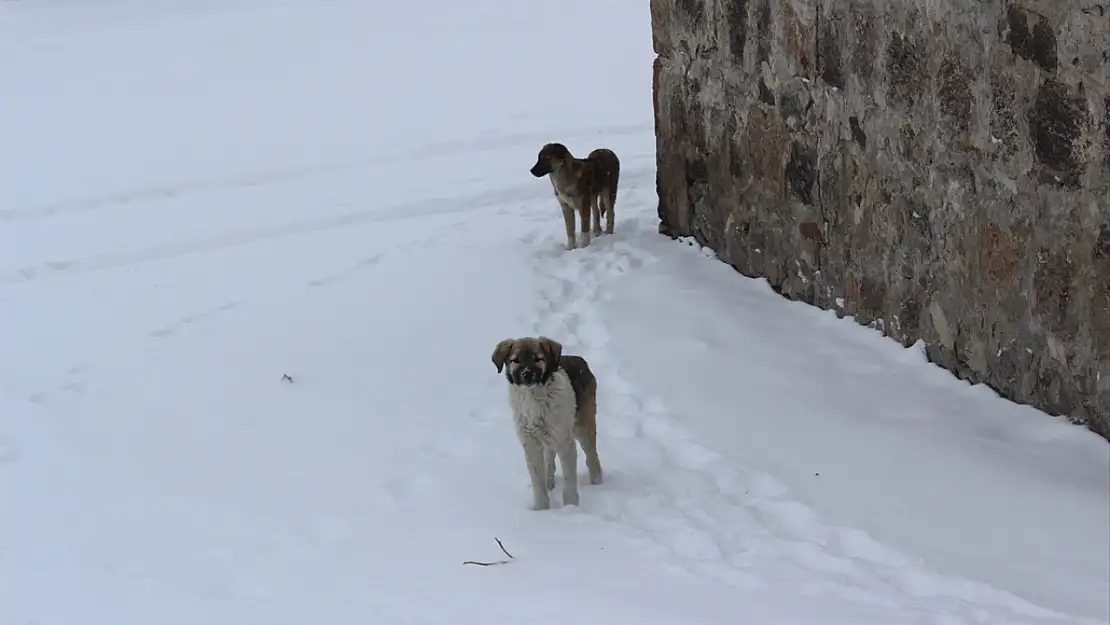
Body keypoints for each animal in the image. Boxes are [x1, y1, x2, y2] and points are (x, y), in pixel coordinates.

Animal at [490, 337, 603, 508]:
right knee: (549, 457)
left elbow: (570, 479)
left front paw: (571, 507)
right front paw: (541, 508)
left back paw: (597, 482)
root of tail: (577, 358)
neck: (533, 398)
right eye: (515, 360)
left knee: (592, 456)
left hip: (583, 425)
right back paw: (550, 482)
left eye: (538, 359)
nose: (527, 374)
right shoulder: (530, 443)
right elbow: (537, 480)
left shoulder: (565, 441)